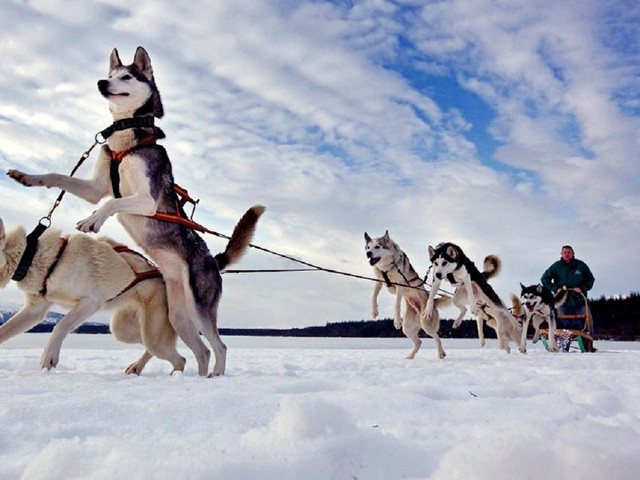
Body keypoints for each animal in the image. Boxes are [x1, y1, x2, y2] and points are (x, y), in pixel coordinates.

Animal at [0, 216, 185, 374]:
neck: (33, 256)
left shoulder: (90, 302)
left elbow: (60, 326)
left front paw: (48, 357)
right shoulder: (35, 309)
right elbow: (4, 330)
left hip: (151, 335)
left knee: (179, 359)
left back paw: (175, 375)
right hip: (123, 330)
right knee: (155, 348)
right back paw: (136, 367)